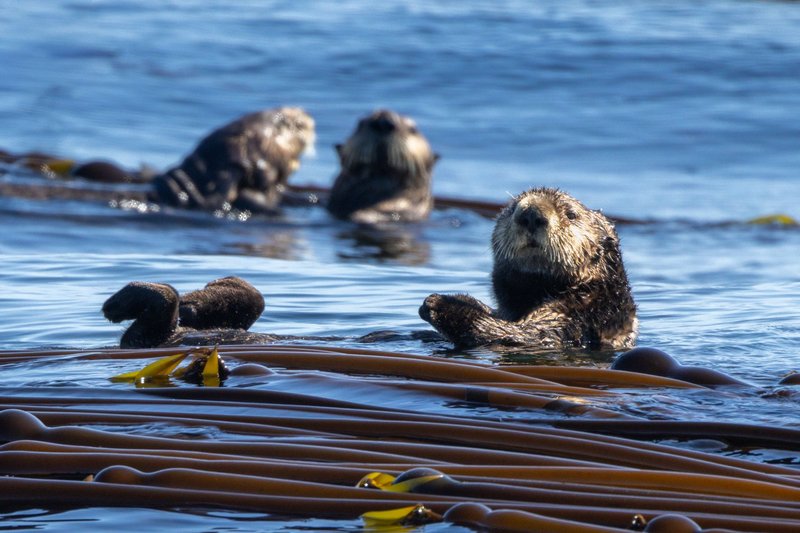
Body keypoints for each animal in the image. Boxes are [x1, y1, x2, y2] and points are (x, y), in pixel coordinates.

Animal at [419, 187, 638, 350]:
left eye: (571, 214)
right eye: (512, 208)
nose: (531, 214)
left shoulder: (576, 319)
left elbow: (519, 335)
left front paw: (438, 303)